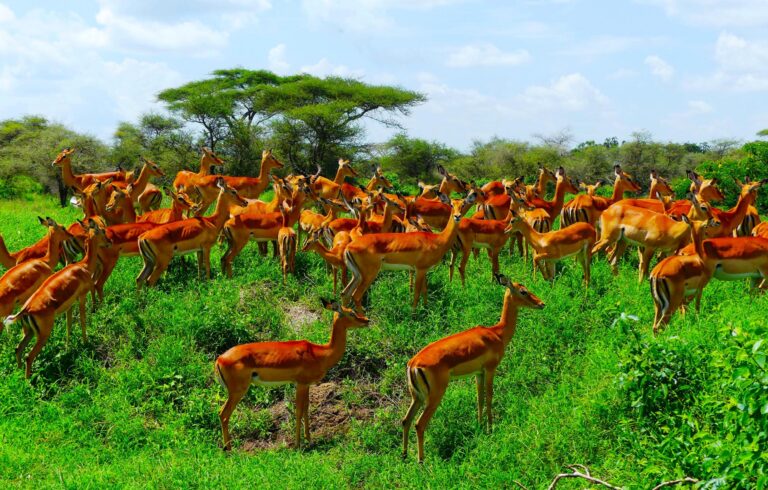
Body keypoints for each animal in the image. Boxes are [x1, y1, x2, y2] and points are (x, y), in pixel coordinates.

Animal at [4, 220, 110, 378]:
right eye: (102, 231)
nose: (109, 242)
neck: (83, 266)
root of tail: (26, 310)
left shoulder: (69, 305)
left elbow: (69, 324)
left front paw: (67, 346)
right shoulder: (82, 297)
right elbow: (83, 321)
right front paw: (86, 342)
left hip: (30, 332)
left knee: (18, 349)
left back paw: (19, 374)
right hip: (43, 335)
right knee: (29, 356)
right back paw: (29, 381)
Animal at [214, 299, 370, 450]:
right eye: (352, 313)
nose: (367, 320)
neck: (321, 353)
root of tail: (219, 359)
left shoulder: (306, 385)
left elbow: (306, 408)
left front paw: (309, 440)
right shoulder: (301, 384)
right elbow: (299, 411)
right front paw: (297, 444)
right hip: (238, 391)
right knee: (223, 414)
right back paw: (229, 450)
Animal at [342, 191, 477, 311]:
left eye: (463, 204)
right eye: (452, 204)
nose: (457, 216)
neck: (438, 239)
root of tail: (349, 247)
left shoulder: (423, 270)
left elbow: (424, 291)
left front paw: (426, 309)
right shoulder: (420, 270)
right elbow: (417, 293)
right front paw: (414, 316)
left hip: (357, 275)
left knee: (345, 293)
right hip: (368, 275)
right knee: (356, 296)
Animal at [402, 275, 544, 463]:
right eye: (523, 291)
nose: (541, 303)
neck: (497, 333)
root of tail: (413, 364)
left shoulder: (478, 373)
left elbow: (479, 399)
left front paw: (479, 426)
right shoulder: (491, 369)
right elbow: (489, 397)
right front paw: (490, 428)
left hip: (416, 397)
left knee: (406, 420)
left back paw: (404, 455)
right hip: (435, 396)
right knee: (419, 424)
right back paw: (421, 461)